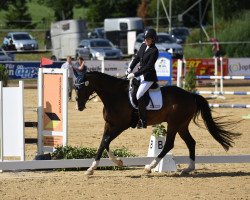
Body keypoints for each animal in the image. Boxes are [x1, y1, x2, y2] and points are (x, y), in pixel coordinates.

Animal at [74, 71, 240, 175]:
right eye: (75, 88)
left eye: (81, 87)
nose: (79, 107)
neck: (115, 95)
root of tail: (190, 95)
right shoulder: (109, 125)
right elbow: (104, 143)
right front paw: (111, 164)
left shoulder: (121, 126)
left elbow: (105, 142)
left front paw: (94, 168)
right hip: (181, 125)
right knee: (191, 142)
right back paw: (188, 169)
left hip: (174, 123)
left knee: (169, 144)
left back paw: (149, 167)